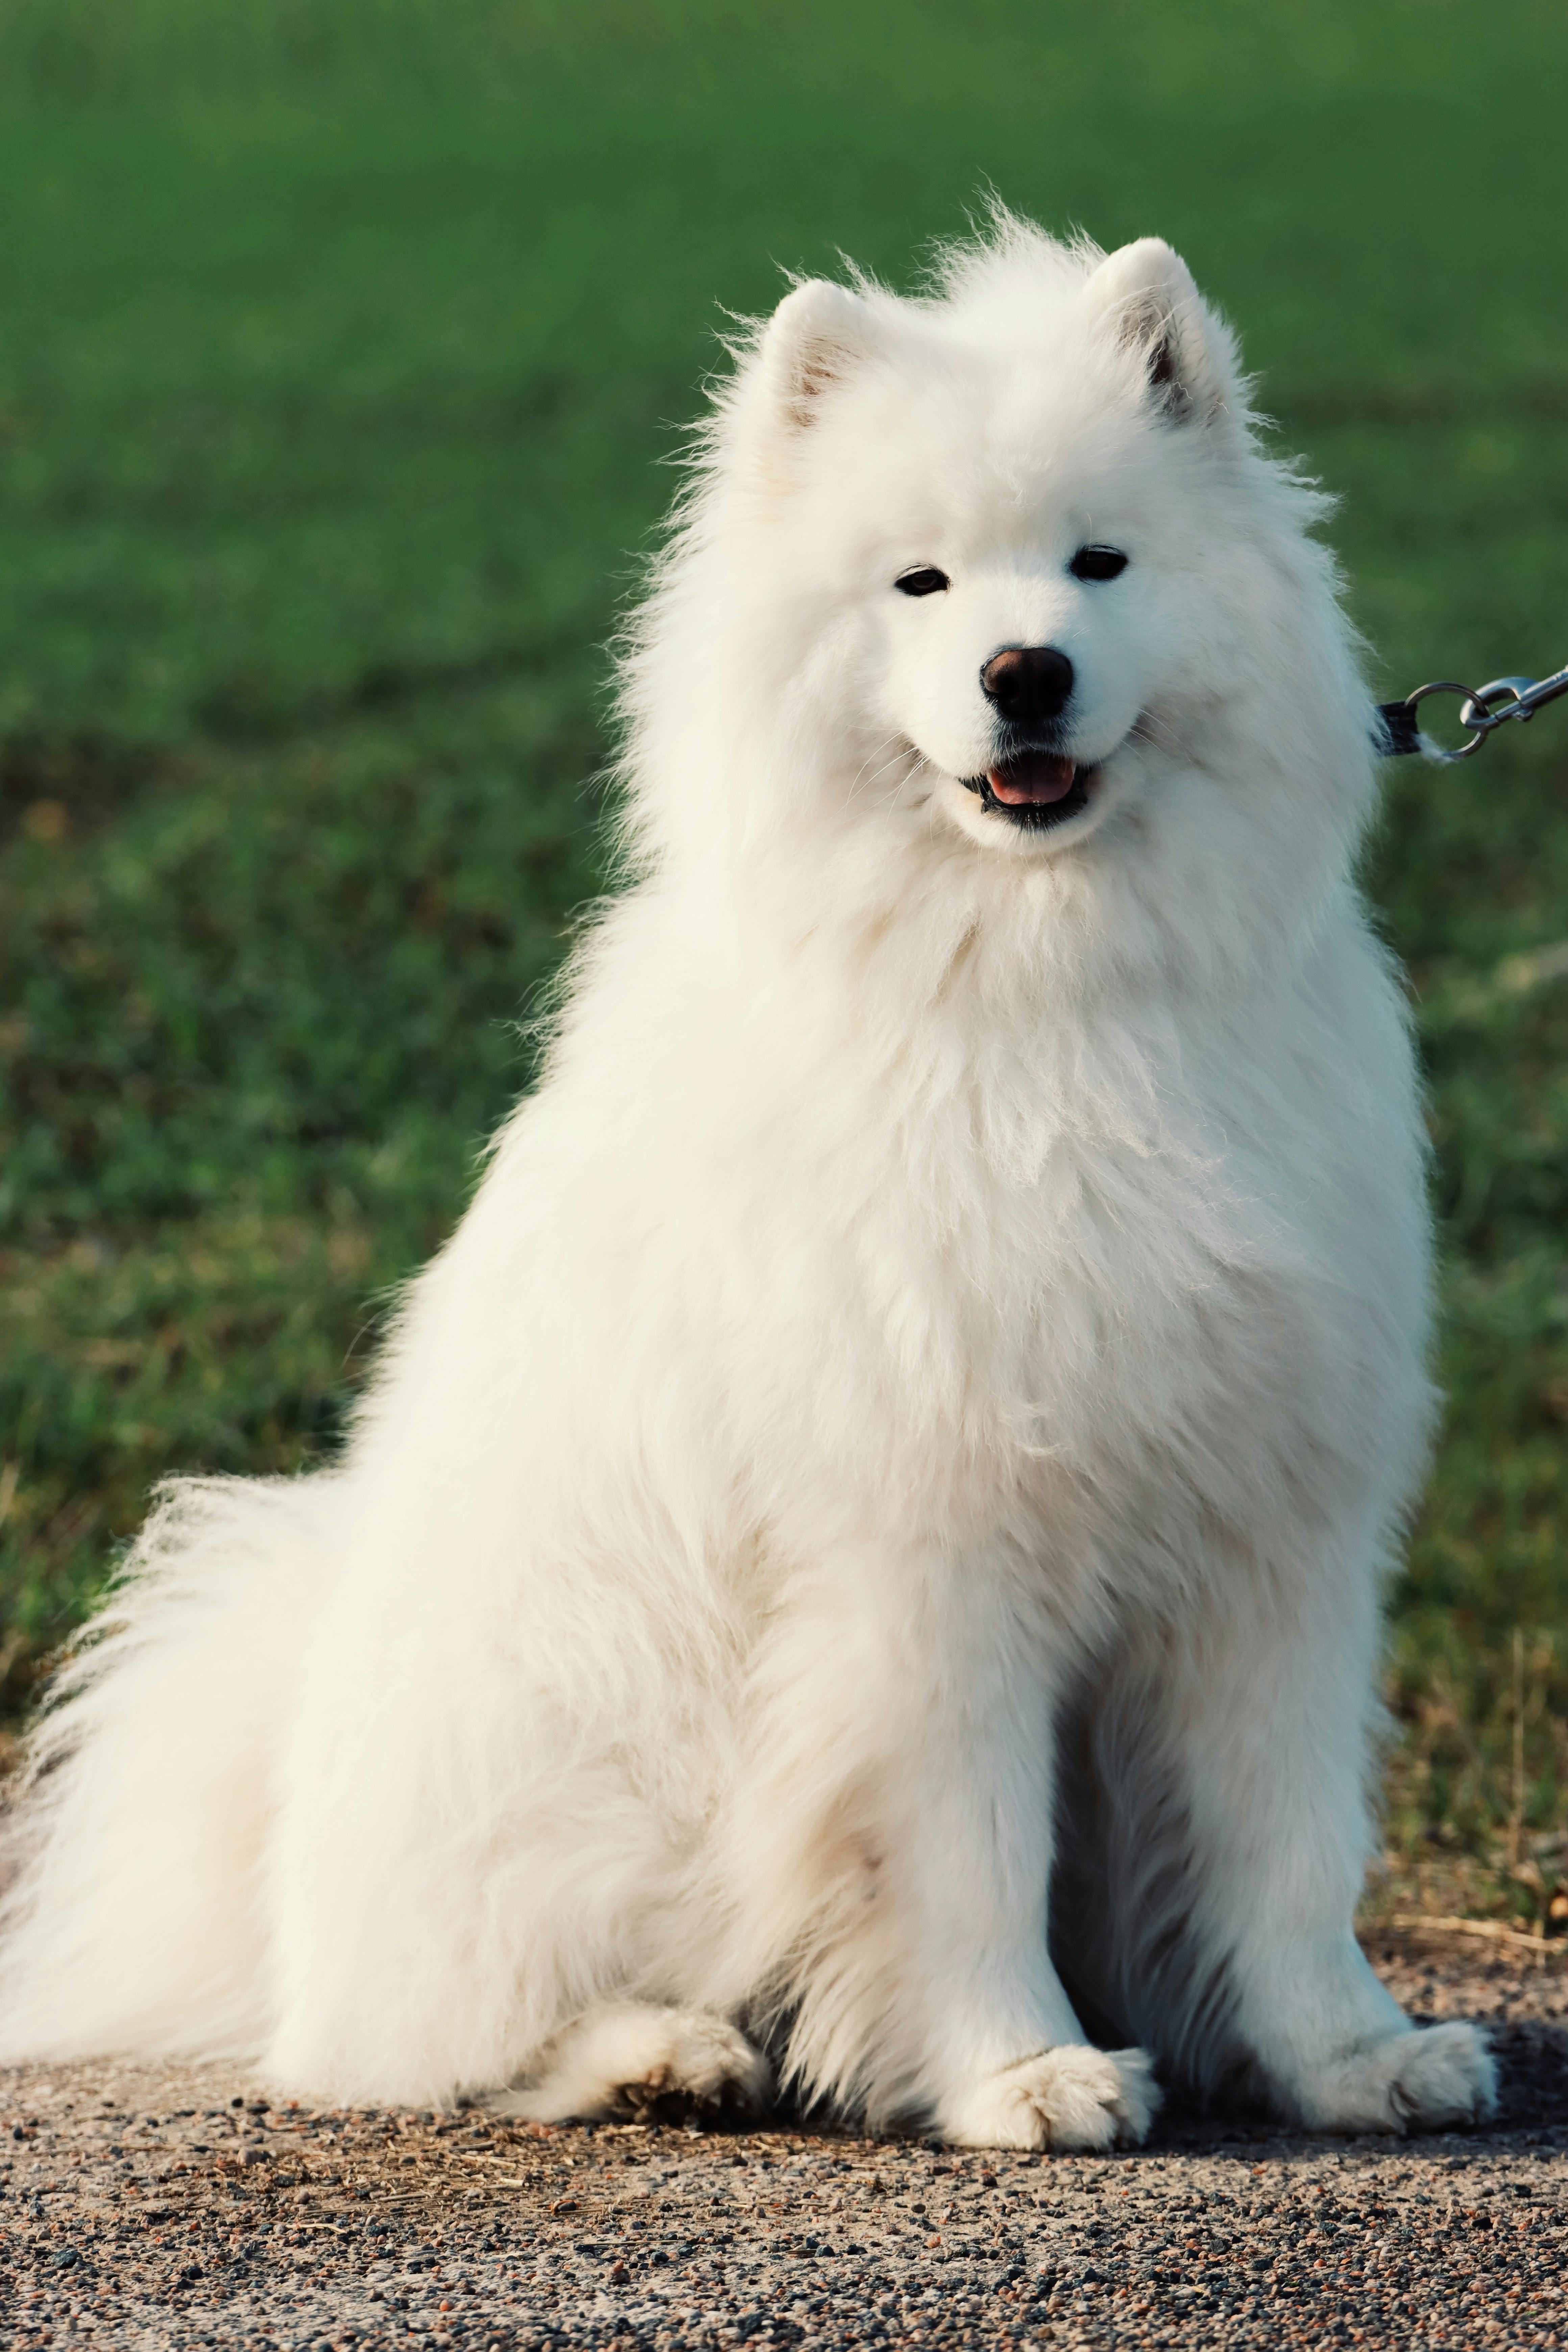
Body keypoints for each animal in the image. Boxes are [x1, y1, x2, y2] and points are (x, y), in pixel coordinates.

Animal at [0, 221, 1495, 2154]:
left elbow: (1286, 1849)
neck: (1047, 992)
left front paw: (1349, 2058)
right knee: (419, 2039)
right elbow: (965, 1852)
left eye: (1099, 561)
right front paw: (1020, 2071)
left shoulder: (1268, 1536)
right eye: (919, 584)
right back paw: (659, 2052)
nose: (1024, 671)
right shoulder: (923, 1560)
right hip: (573, 1767)